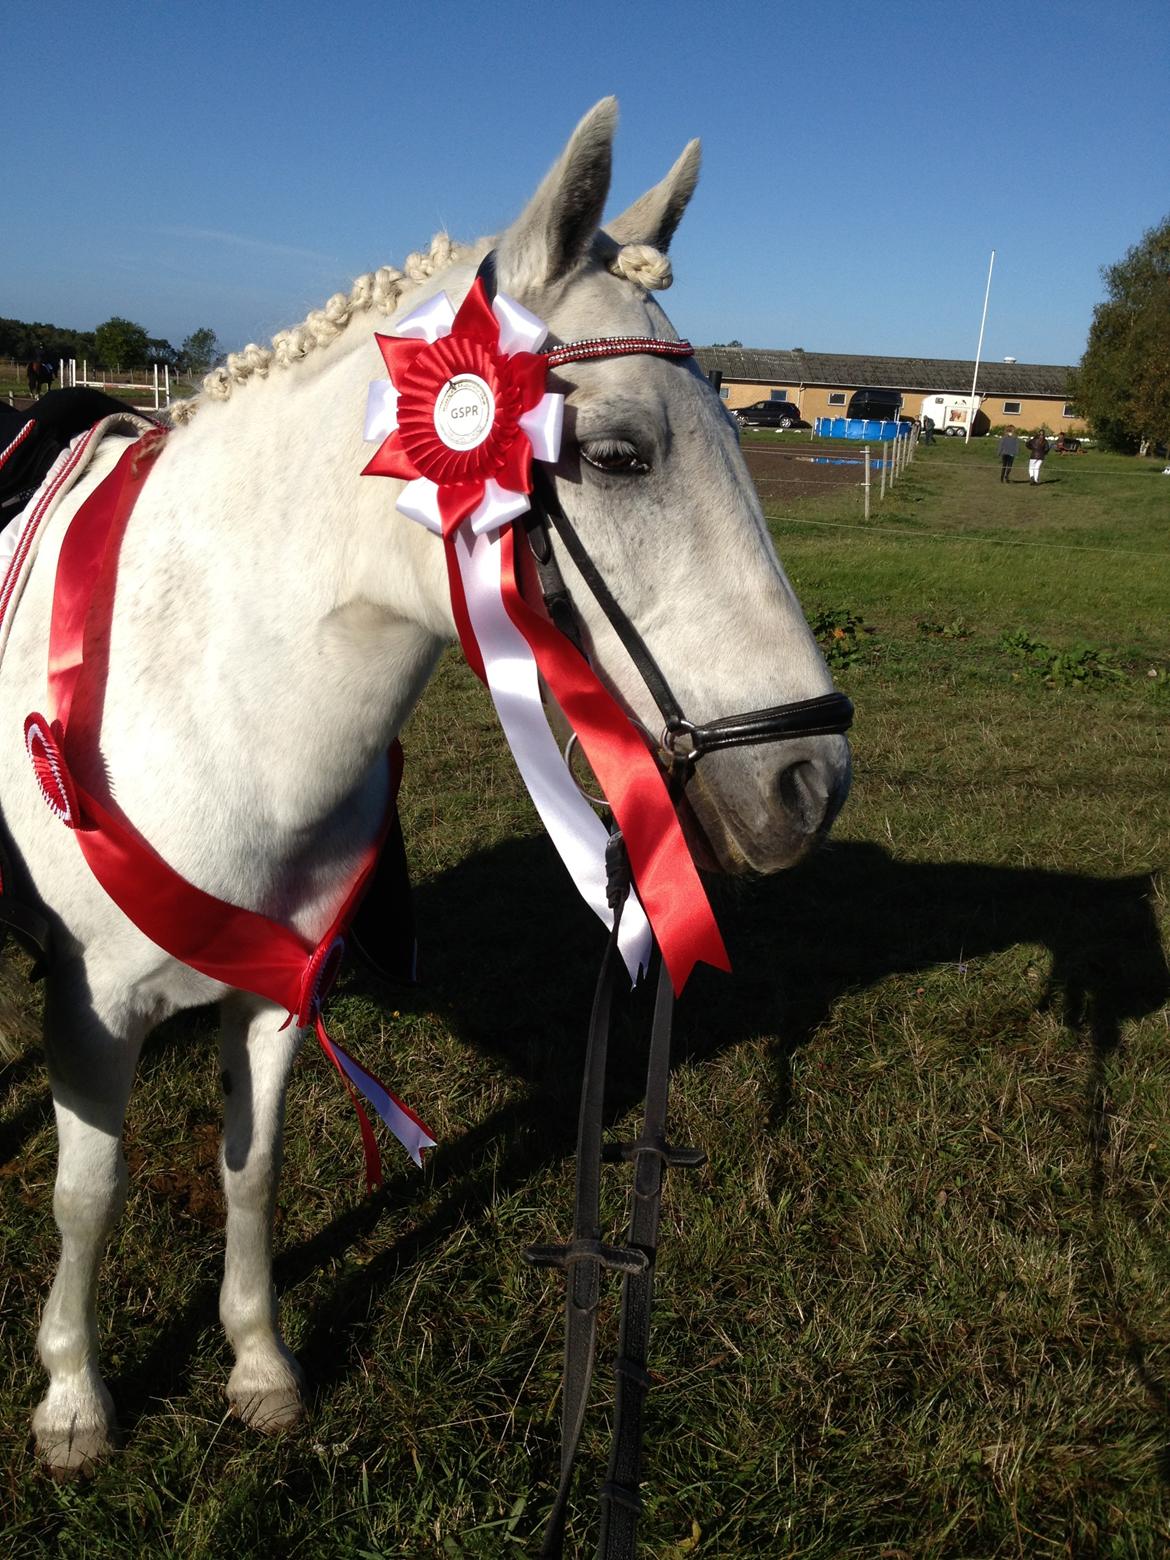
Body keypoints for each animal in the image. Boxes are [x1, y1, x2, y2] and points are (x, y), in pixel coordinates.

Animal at [0, 99, 851, 1478]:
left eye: (748, 430)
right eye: (618, 454)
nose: (809, 778)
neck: (199, 685)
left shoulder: (276, 990)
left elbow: (249, 1170)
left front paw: (258, 1364)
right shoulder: (93, 1008)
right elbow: (88, 1194)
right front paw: (74, 1395)